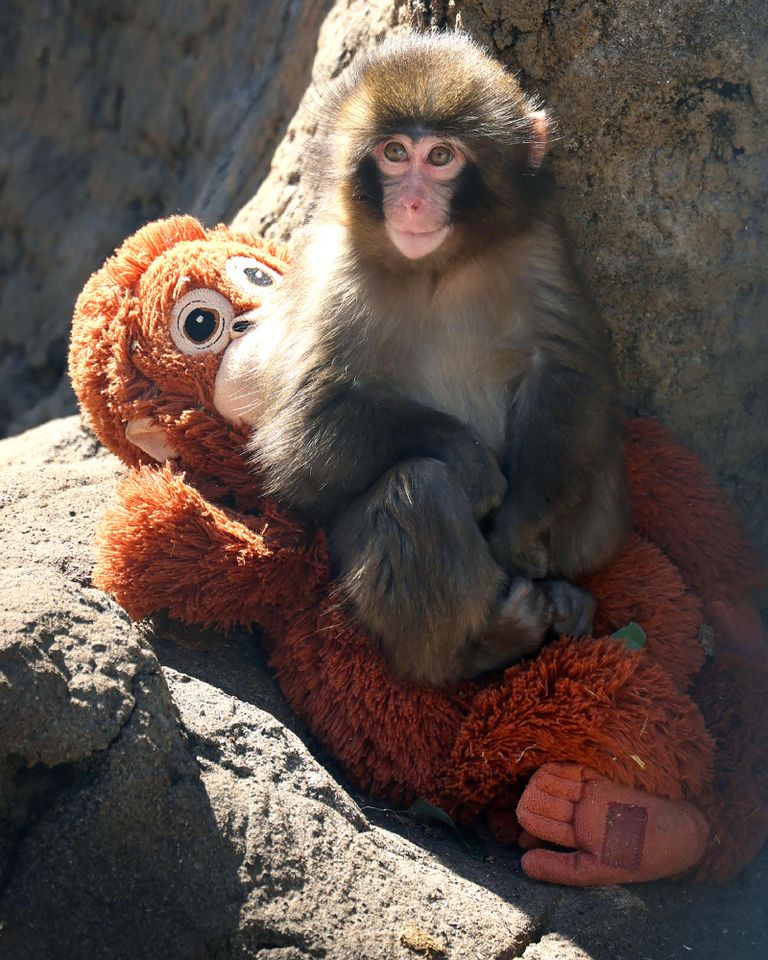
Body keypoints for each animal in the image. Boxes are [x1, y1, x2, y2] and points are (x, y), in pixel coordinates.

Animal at [238, 31, 631, 687]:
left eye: (441, 157)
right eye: (396, 153)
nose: (414, 204)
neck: (437, 269)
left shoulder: (539, 244)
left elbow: (566, 371)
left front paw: (518, 528)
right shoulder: (332, 268)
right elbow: (303, 430)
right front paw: (468, 459)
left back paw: (563, 592)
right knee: (417, 489)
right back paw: (482, 646)